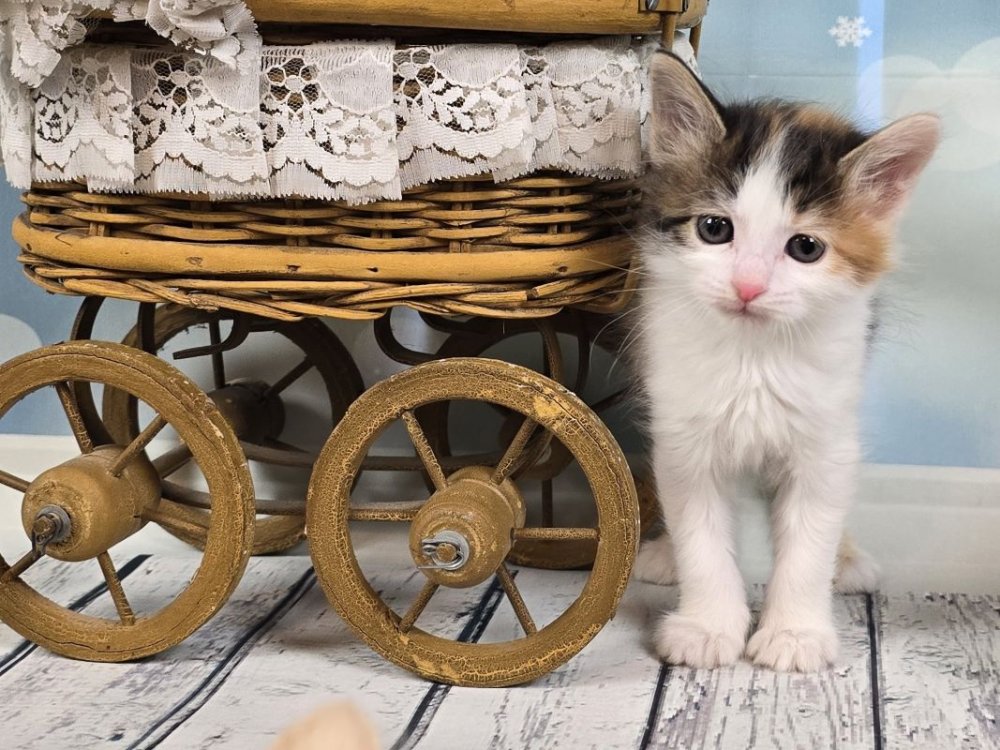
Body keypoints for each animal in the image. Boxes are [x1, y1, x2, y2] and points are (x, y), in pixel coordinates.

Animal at [631, 52, 939, 671]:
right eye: (714, 228)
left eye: (806, 248)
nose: (748, 286)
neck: (754, 357)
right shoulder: (684, 436)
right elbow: (702, 535)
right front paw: (706, 625)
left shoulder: (824, 440)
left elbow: (809, 542)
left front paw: (795, 633)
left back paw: (848, 558)